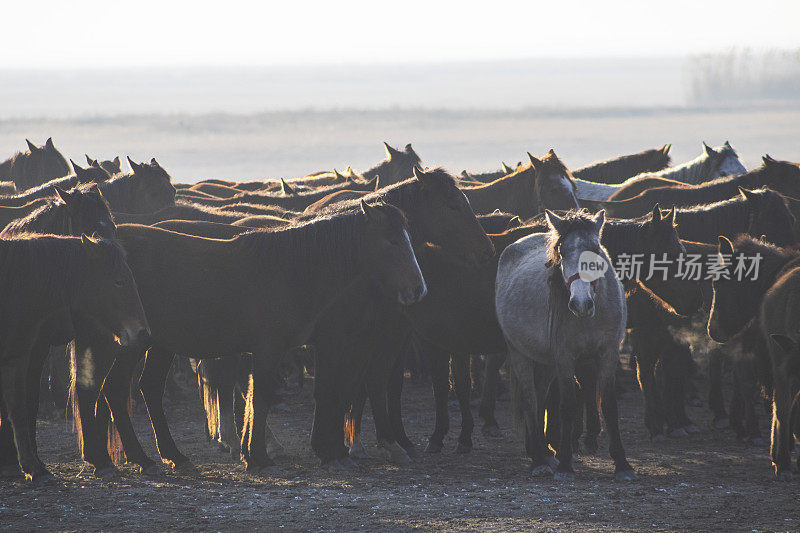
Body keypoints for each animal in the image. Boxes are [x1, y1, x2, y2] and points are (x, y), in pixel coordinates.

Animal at [494, 209, 636, 482]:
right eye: (562, 252)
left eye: (596, 249)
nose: (580, 304)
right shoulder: (565, 358)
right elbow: (568, 404)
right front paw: (566, 465)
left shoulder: (608, 354)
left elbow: (609, 405)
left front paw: (622, 464)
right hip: (520, 354)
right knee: (530, 400)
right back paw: (539, 460)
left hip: (546, 363)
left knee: (539, 397)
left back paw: (543, 452)